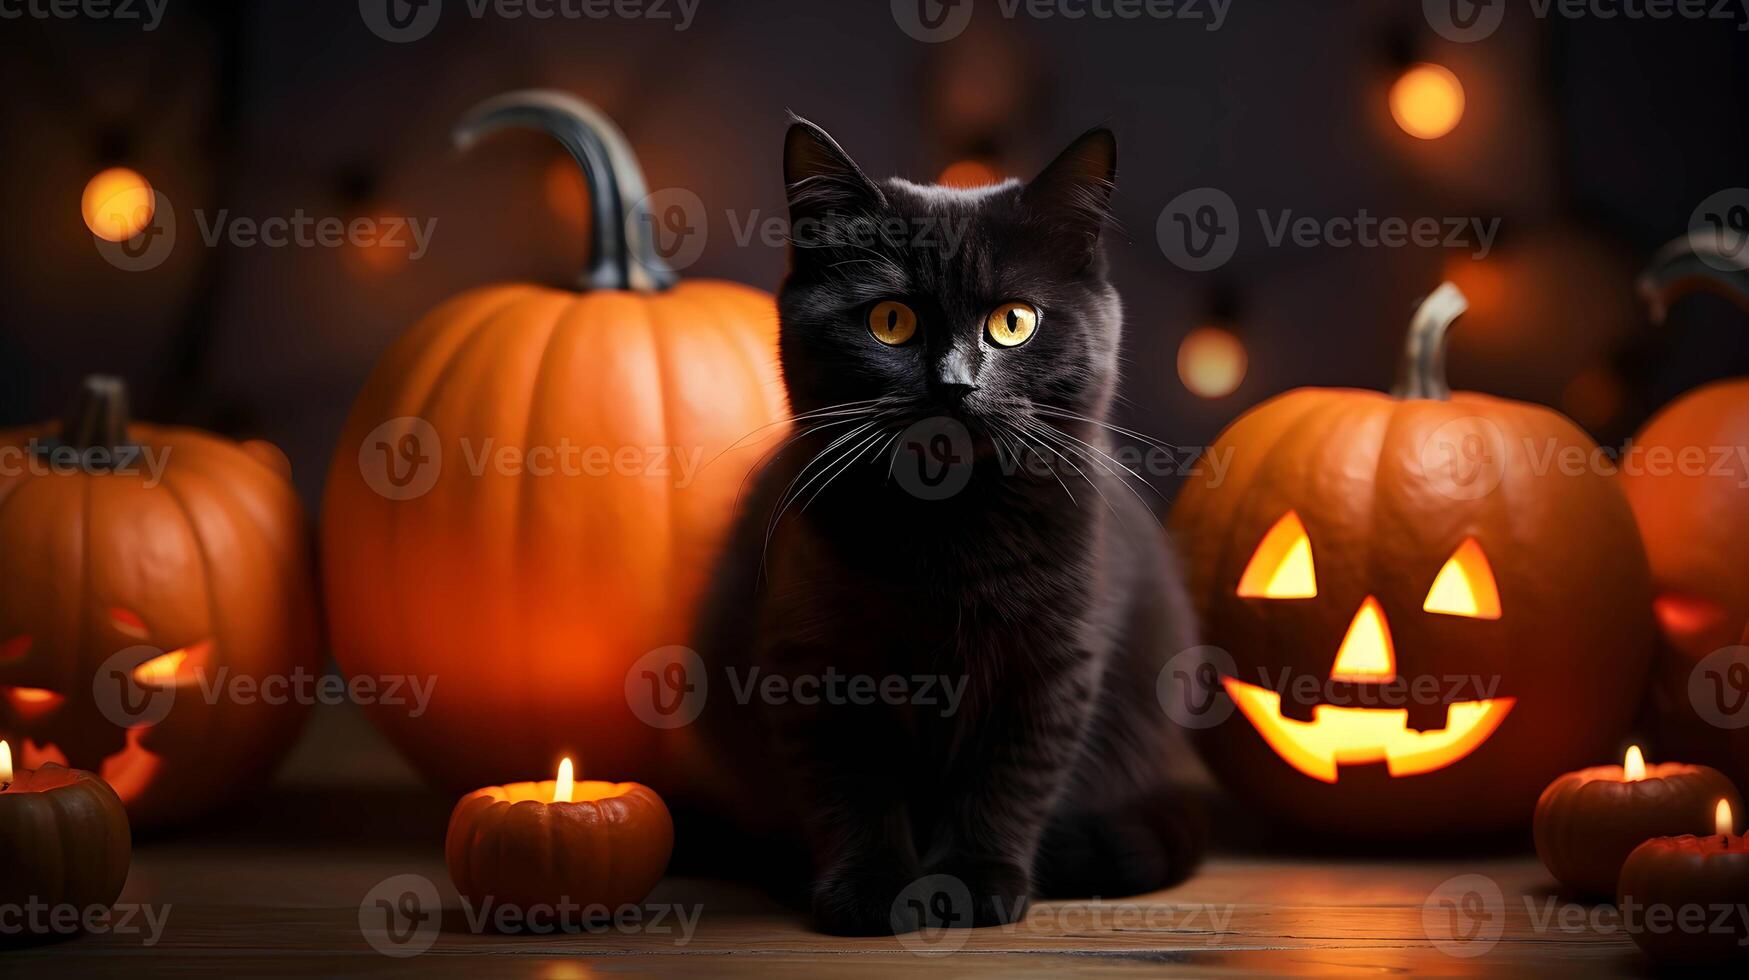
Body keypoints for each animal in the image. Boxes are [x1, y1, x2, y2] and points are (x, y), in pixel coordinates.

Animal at [685, 119, 1203, 938]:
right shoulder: (814, 663)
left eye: (1013, 322)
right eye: (890, 321)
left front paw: (971, 884)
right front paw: (868, 890)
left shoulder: (1050, 663)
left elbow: (1008, 778)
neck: (951, 532)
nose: (954, 384)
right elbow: (850, 785)